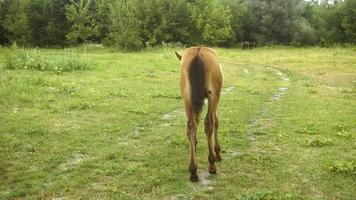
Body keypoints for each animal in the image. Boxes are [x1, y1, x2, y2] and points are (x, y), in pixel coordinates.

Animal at [175, 46, 222, 181]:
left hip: (186, 97)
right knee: (209, 123)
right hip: (213, 96)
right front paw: (218, 153)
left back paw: (193, 170)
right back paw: (212, 164)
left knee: (191, 125)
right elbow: (216, 121)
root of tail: (198, 53)